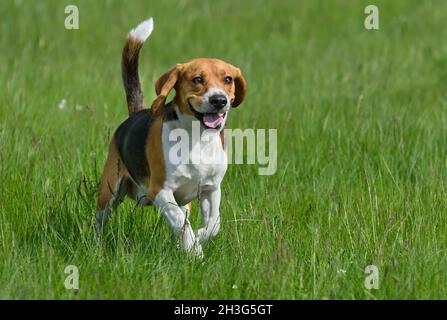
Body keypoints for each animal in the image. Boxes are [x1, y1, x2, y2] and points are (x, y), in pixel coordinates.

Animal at [96, 18, 248, 258]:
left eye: (227, 79)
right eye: (197, 79)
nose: (219, 100)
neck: (198, 138)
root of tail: (135, 114)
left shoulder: (211, 189)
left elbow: (213, 224)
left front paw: (200, 237)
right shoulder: (160, 191)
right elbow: (180, 224)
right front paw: (194, 250)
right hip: (110, 190)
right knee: (99, 221)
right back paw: (96, 245)